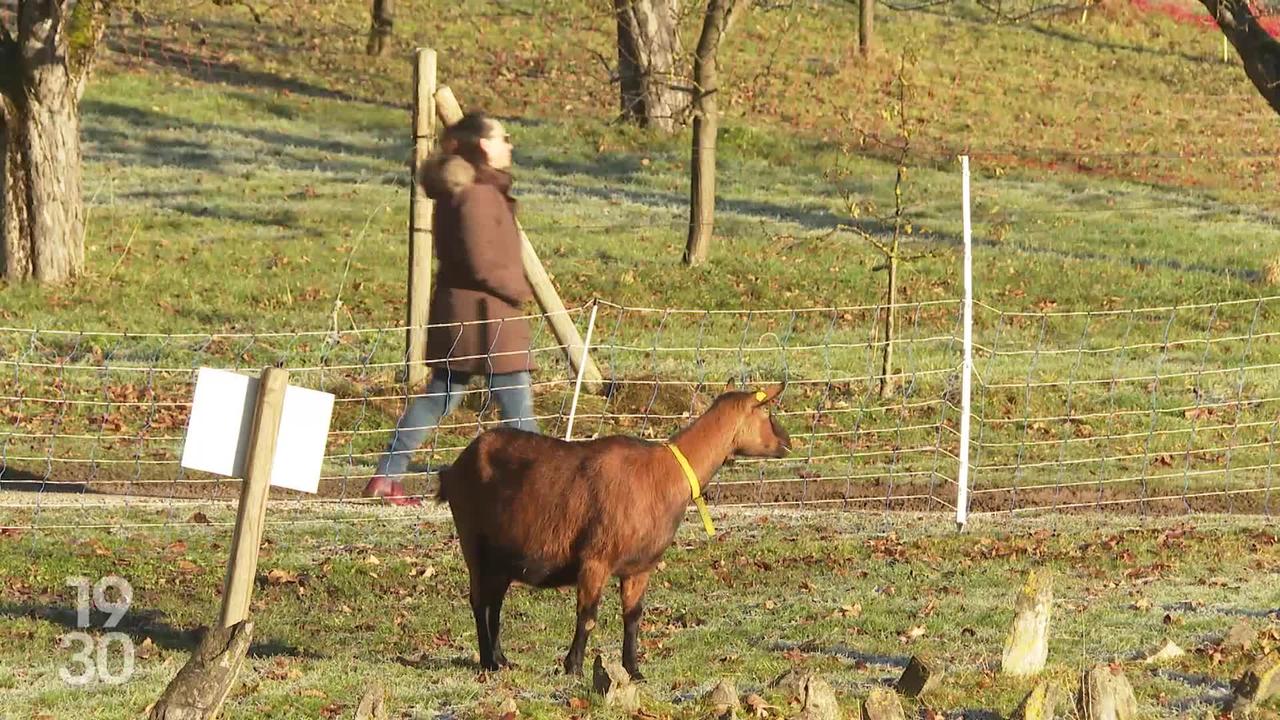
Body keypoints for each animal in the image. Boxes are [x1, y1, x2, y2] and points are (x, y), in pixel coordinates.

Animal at [435, 381, 783, 671]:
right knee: (479, 601)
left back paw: (501, 659)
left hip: (502, 556)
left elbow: (633, 617)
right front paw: (573, 667)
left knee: (493, 602)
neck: (664, 474)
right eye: (766, 411)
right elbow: (588, 616)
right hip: (473, 541)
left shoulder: (640, 567)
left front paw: (633, 670)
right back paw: (488, 662)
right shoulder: (595, 559)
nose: (786, 442)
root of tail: (453, 470)